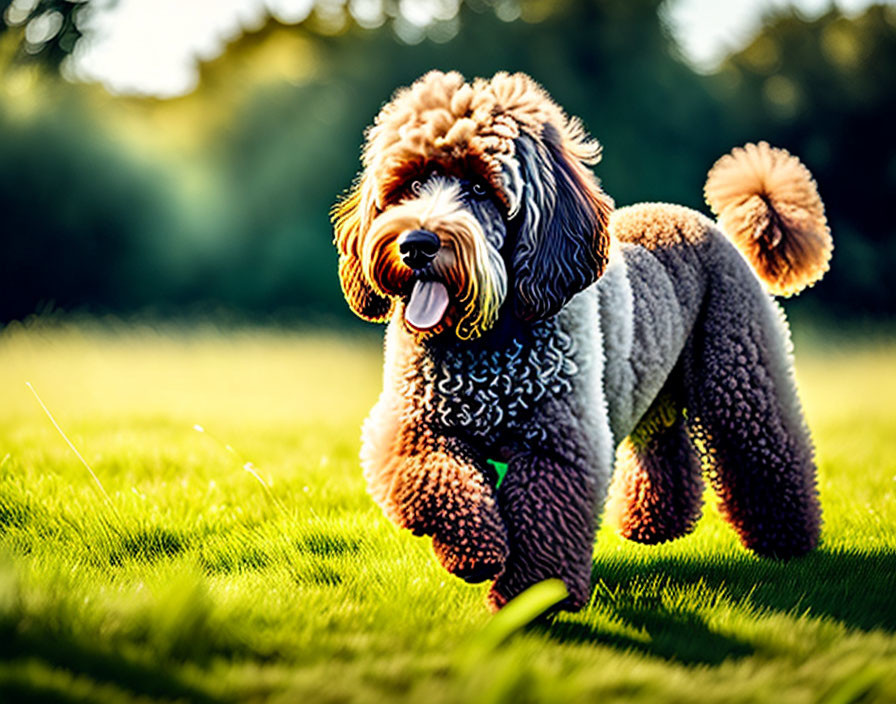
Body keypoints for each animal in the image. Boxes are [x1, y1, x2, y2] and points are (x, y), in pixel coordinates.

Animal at [330, 71, 832, 612]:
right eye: (410, 184)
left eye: (481, 187)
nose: (416, 245)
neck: (485, 342)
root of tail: (709, 225)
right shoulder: (413, 427)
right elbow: (440, 482)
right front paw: (477, 552)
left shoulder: (559, 445)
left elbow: (543, 526)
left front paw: (532, 598)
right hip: (650, 388)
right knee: (664, 444)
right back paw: (653, 526)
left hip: (739, 378)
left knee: (766, 450)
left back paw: (787, 540)